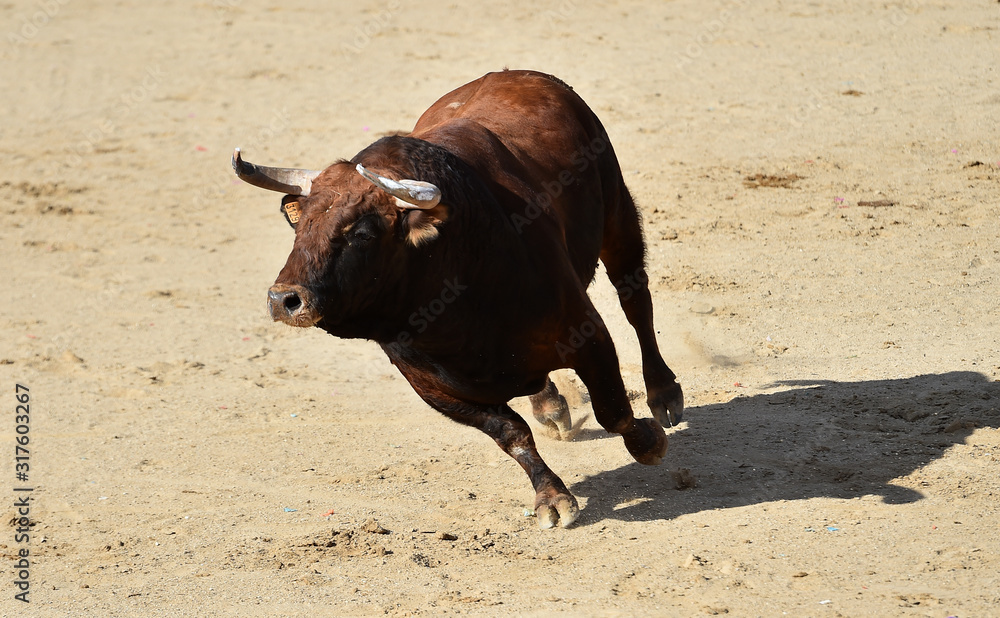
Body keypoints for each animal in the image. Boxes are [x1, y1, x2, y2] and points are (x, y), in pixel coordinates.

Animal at [232, 69, 683, 528]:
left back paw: (664, 394)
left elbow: (613, 408)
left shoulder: (587, 333)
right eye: (300, 223)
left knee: (635, 300)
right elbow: (512, 434)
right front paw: (552, 496)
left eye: (362, 232)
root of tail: (515, 74)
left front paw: (648, 441)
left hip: (617, 213)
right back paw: (550, 405)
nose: (284, 299)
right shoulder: (437, 389)